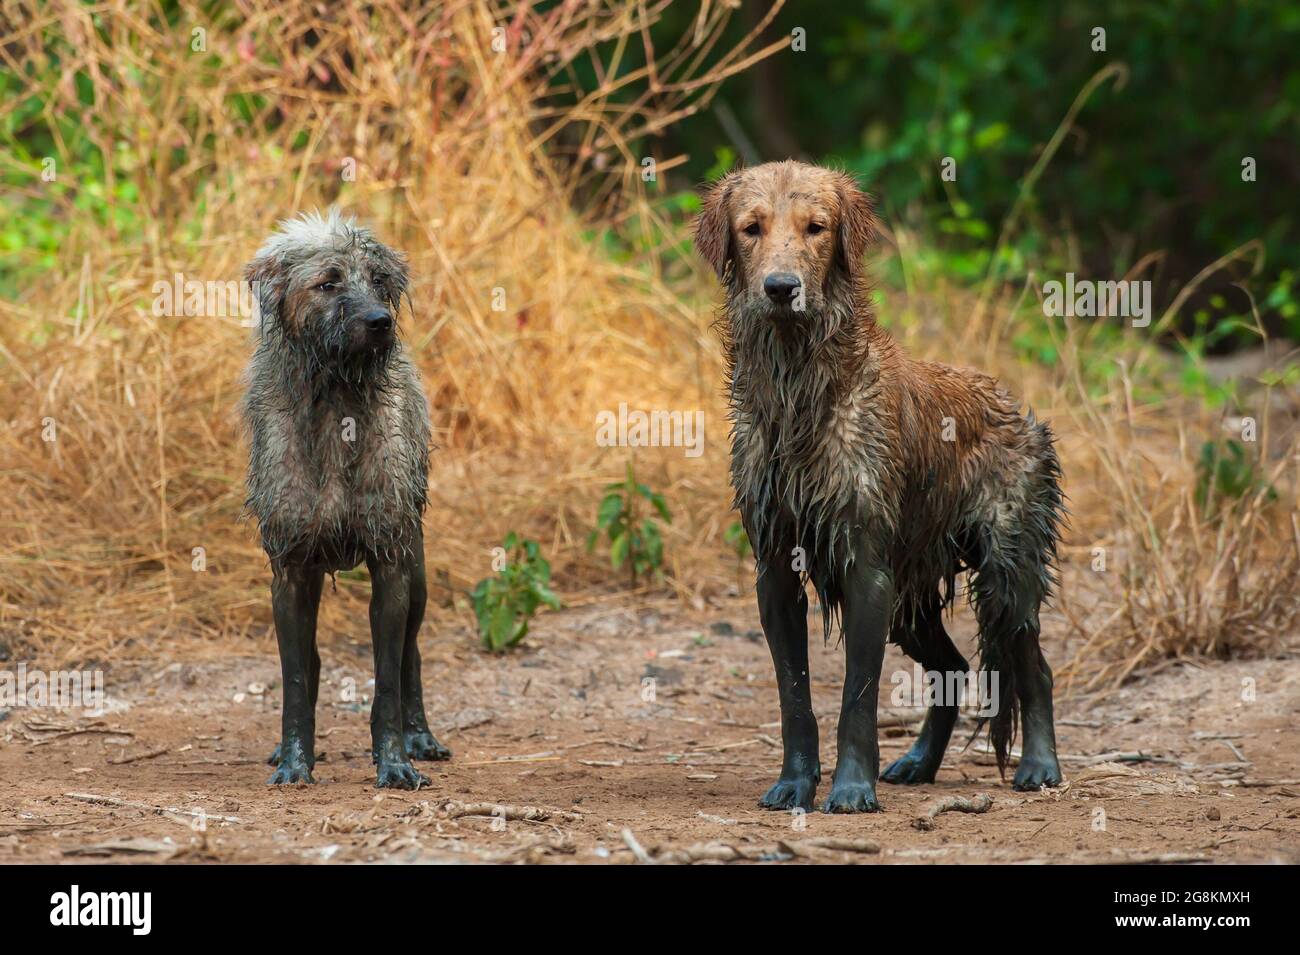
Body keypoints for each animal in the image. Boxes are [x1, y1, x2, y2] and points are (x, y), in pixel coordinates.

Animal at [241, 209, 449, 789]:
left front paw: (395, 759)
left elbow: (388, 680)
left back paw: (420, 736)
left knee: (410, 657)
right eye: (328, 282)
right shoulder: (289, 573)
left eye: (378, 280)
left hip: (417, 573)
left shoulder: (391, 567)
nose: (380, 321)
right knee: (309, 663)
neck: (336, 400)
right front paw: (294, 761)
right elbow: (294, 681)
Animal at [696, 162, 1060, 815]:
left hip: (1005, 572)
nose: (781, 288)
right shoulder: (776, 571)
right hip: (910, 601)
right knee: (954, 667)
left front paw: (850, 789)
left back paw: (1040, 767)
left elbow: (857, 699)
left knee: (1032, 667)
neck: (801, 392)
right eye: (751, 228)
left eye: (816, 228)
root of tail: (1019, 412)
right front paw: (794, 785)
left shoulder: (866, 568)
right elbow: (794, 698)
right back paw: (918, 763)